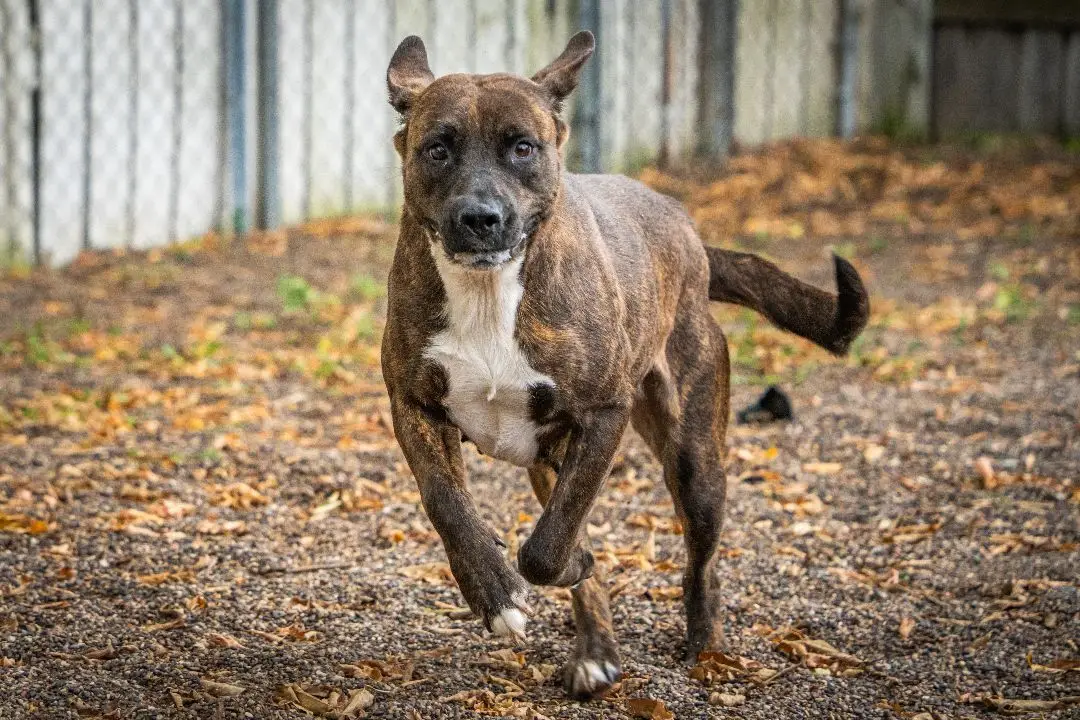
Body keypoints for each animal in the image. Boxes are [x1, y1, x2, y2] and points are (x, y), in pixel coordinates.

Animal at [380, 29, 868, 699]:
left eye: (523, 148)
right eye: (436, 149)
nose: (481, 218)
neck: (488, 294)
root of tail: (690, 235)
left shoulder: (602, 415)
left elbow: (549, 547)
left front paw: (552, 567)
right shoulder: (414, 405)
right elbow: (447, 502)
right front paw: (495, 591)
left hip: (693, 457)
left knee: (699, 561)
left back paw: (706, 648)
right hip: (550, 459)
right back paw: (596, 652)